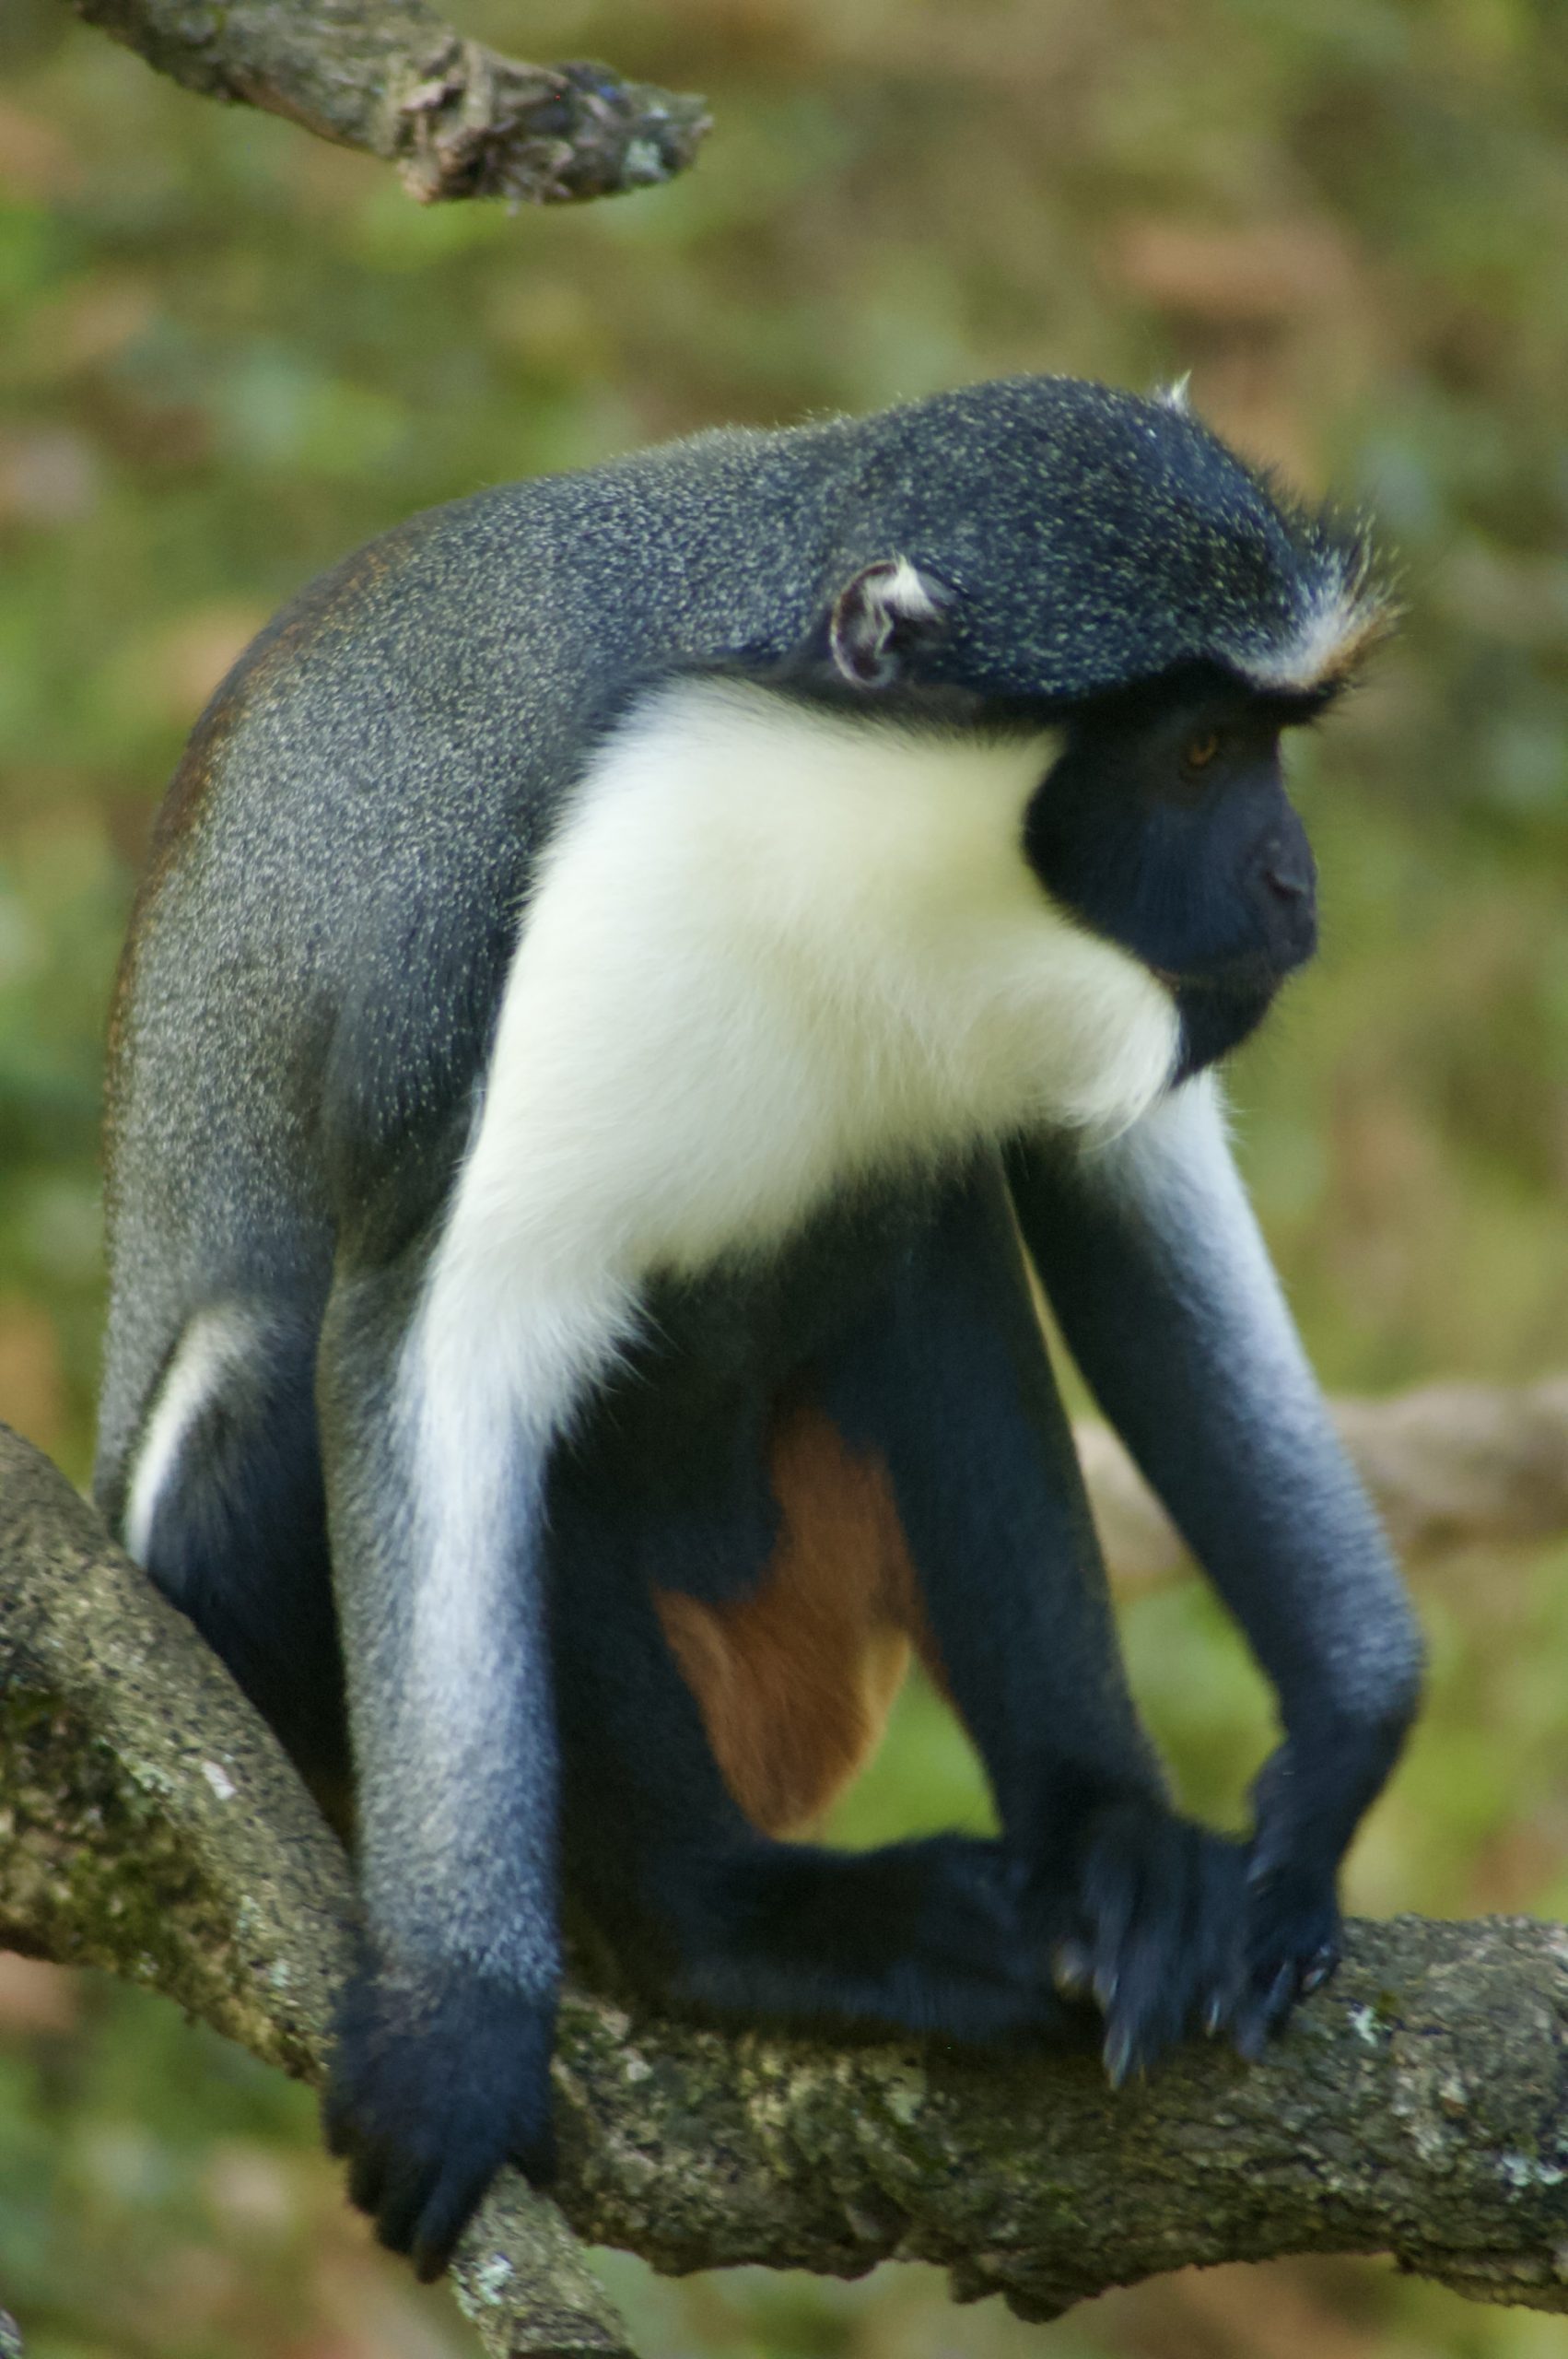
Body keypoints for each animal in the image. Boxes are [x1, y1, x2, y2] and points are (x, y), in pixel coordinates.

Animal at [94, 374, 1423, 2281]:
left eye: (1266, 745)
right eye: (1194, 755)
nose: (1292, 888)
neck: (852, 810)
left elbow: (1107, 1186)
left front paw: (1327, 1765)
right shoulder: (528, 927)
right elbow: (436, 1344)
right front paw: (460, 2023)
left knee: (928, 1226)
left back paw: (1101, 1850)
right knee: (281, 1419)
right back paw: (729, 1930)